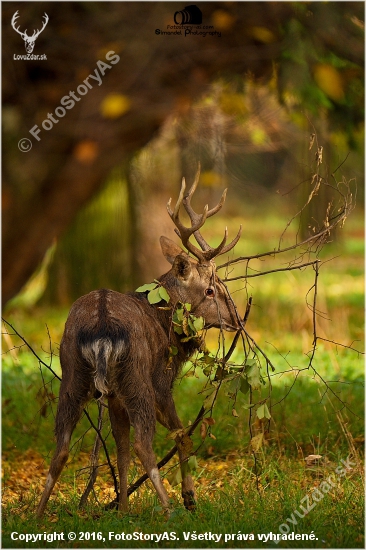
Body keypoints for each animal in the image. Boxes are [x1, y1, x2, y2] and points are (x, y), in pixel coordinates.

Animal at [35, 170, 242, 520]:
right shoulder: (162, 382)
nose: (237, 320)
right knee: (144, 444)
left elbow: (120, 447)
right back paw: (170, 510)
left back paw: (37, 515)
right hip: (137, 377)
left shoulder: (115, 397)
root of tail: (101, 329)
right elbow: (182, 436)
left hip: (72, 374)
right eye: (211, 290)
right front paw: (190, 498)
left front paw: (122, 509)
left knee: (61, 446)